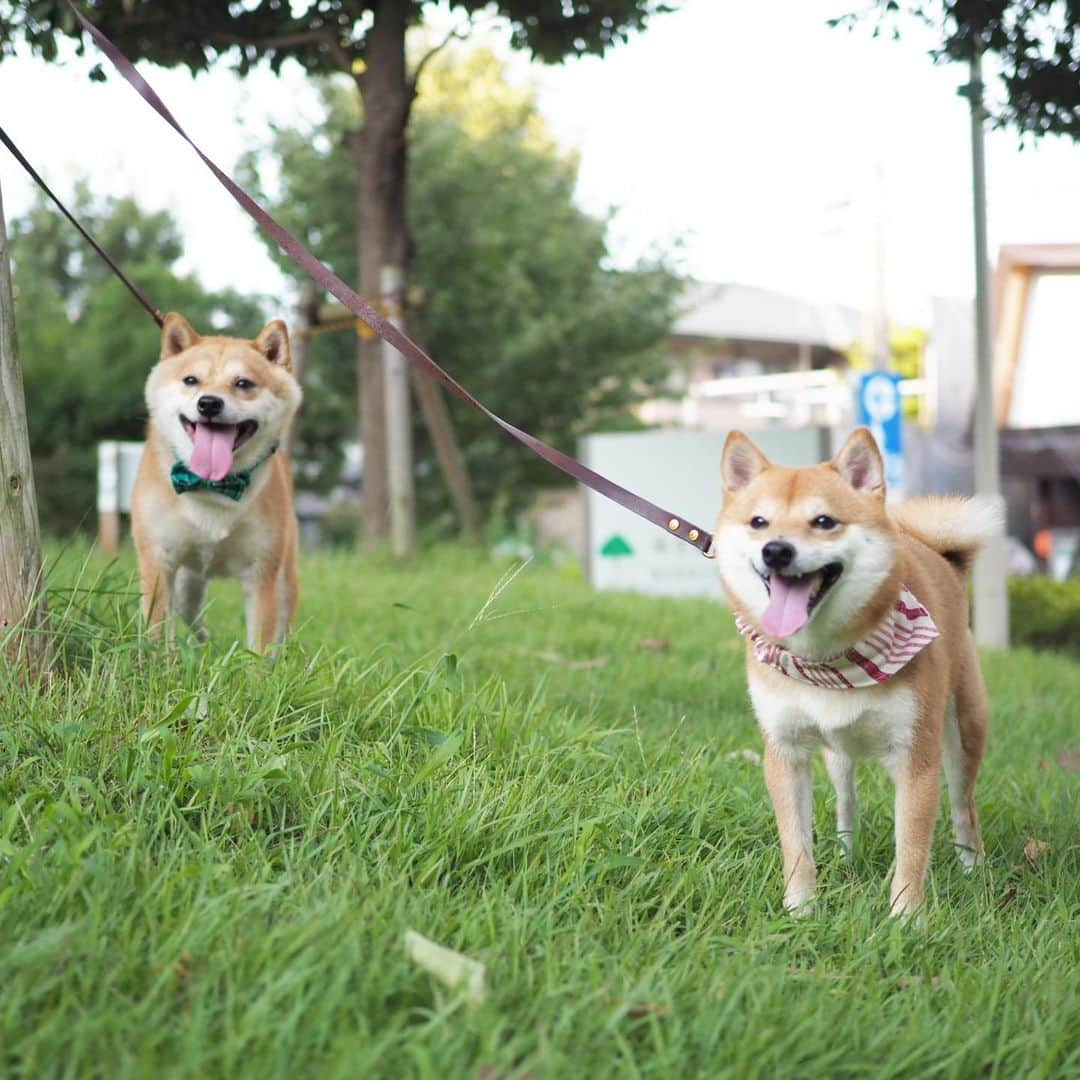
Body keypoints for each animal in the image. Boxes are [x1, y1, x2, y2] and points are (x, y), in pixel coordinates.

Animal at [135, 313, 306, 648]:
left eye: (243, 383)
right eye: (191, 380)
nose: (209, 403)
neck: (213, 486)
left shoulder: (261, 574)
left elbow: (261, 646)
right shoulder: (159, 562)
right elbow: (158, 632)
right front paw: (158, 658)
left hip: (285, 577)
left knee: (283, 626)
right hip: (186, 583)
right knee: (192, 617)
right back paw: (202, 643)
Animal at [712, 425, 997, 915]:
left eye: (824, 522)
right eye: (758, 522)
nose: (776, 550)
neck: (826, 659)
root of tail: (940, 556)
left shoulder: (916, 757)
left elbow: (912, 846)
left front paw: (906, 916)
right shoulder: (785, 751)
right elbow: (796, 844)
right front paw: (801, 909)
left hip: (963, 732)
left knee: (964, 806)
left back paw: (972, 867)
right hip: (837, 757)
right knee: (847, 802)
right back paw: (847, 854)